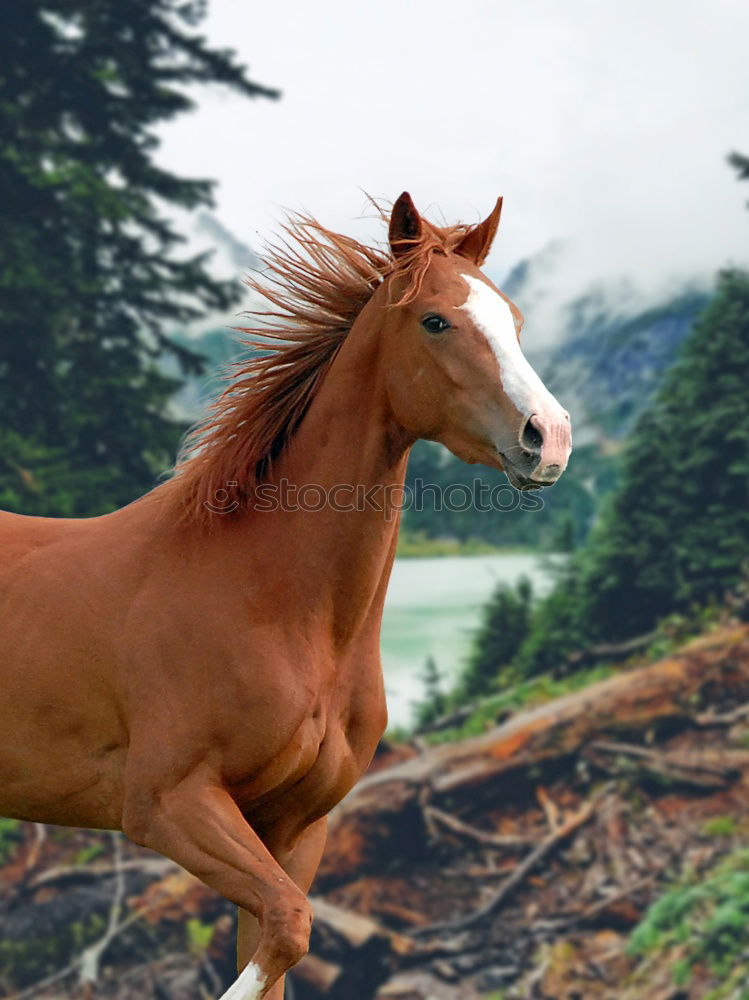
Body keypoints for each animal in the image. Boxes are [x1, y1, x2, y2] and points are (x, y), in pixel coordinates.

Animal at [0, 191, 568, 996]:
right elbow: (289, 929)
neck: (275, 606)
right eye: (435, 320)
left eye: (514, 319)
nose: (548, 438)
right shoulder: (169, 803)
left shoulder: (294, 826)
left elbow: (276, 940)